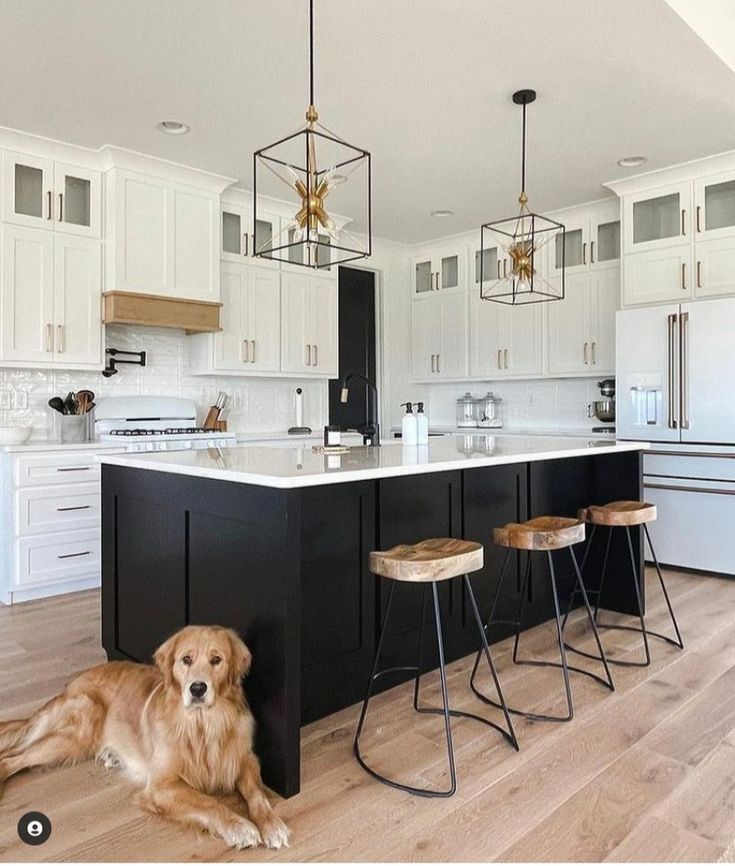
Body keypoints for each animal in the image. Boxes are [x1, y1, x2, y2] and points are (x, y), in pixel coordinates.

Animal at [0, 624, 290, 848]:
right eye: (186, 659)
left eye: (216, 660)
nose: (197, 689)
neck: (202, 725)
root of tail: (69, 686)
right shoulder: (161, 786)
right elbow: (209, 803)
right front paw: (239, 826)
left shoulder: (245, 759)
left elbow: (258, 795)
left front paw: (272, 824)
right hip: (78, 731)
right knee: (10, 758)